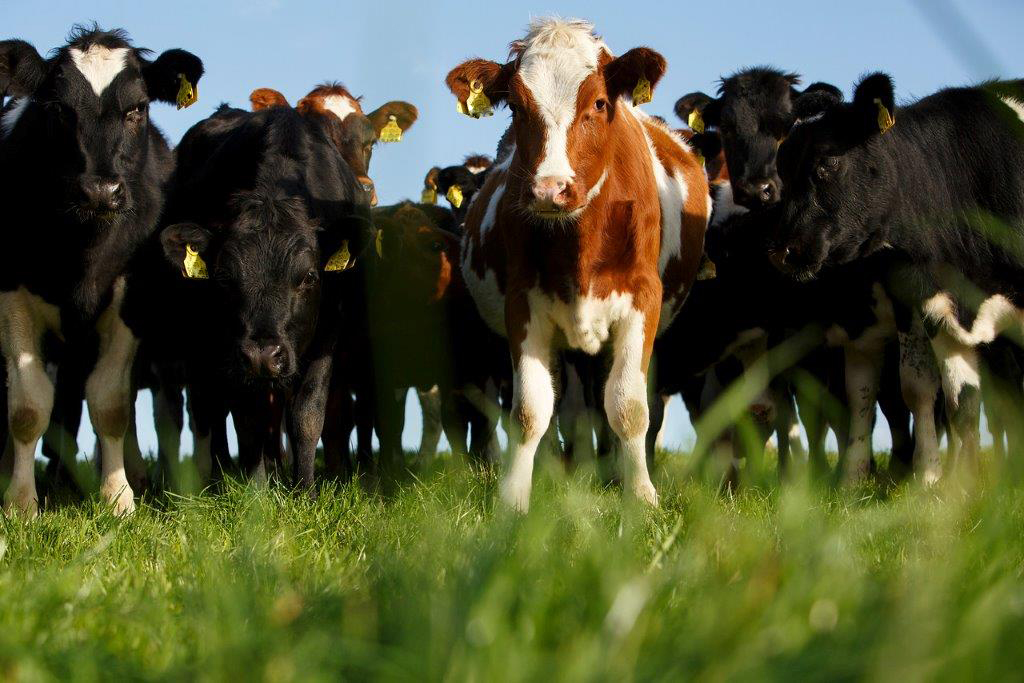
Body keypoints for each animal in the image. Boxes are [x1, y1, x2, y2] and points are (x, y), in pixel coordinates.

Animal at [0, 28, 201, 518]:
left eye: (137, 109)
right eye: (57, 109)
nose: (100, 191)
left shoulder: (131, 298)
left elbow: (111, 403)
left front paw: (118, 497)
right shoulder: (11, 295)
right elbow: (28, 406)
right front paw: (20, 503)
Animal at [122, 102, 372, 491]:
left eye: (309, 277)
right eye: (225, 278)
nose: (263, 355)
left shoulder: (327, 331)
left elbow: (306, 413)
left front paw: (305, 490)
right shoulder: (230, 348)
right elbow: (246, 416)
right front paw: (255, 491)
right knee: (210, 409)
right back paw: (221, 476)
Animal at [444, 15, 708, 509]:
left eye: (599, 103)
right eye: (516, 107)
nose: (550, 189)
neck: (581, 244)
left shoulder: (643, 299)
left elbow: (628, 405)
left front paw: (642, 496)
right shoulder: (522, 303)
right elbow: (531, 409)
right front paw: (515, 497)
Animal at [770, 73, 1024, 481]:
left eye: (827, 162)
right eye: (784, 170)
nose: (783, 252)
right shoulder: (937, 303)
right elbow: (957, 403)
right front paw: (958, 486)